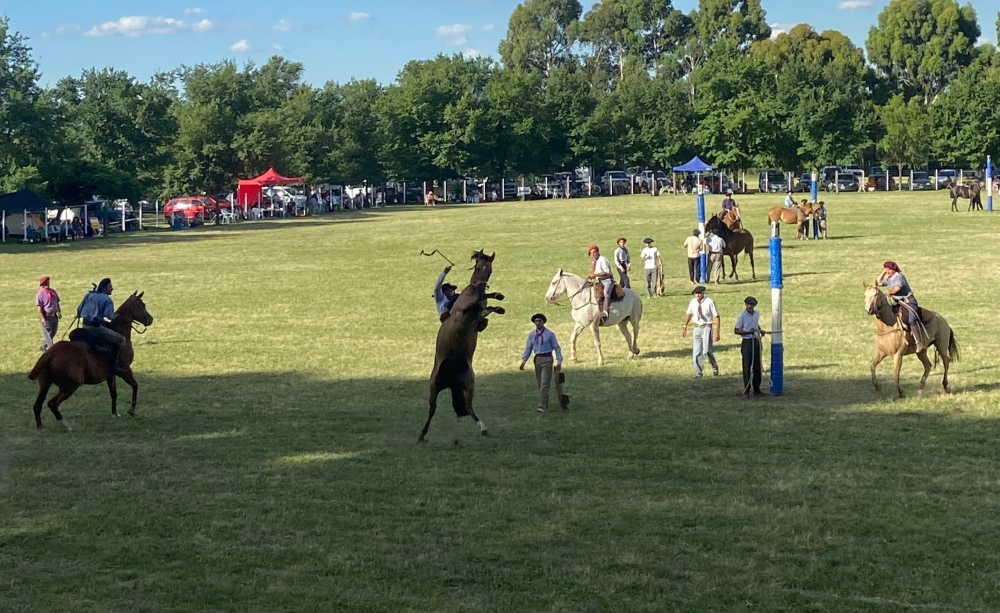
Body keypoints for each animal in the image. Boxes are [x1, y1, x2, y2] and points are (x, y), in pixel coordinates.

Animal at [27, 292, 153, 430]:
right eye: (142, 305)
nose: (150, 319)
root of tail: (50, 353)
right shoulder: (124, 370)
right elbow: (135, 385)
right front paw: (131, 410)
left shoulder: (111, 375)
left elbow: (114, 393)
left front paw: (115, 414)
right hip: (70, 386)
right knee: (52, 403)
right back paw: (67, 426)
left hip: (45, 384)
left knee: (37, 405)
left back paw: (41, 427)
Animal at [418, 251, 504, 442]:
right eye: (477, 267)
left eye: (490, 269)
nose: (481, 285)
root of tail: (451, 379)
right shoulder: (463, 311)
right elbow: (480, 300)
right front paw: (497, 296)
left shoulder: (479, 317)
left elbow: (486, 312)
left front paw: (499, 304)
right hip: (433, 387)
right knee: (431, 411)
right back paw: (422, 435)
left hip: (469, 383)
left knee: (469, 407)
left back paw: (483, 427)